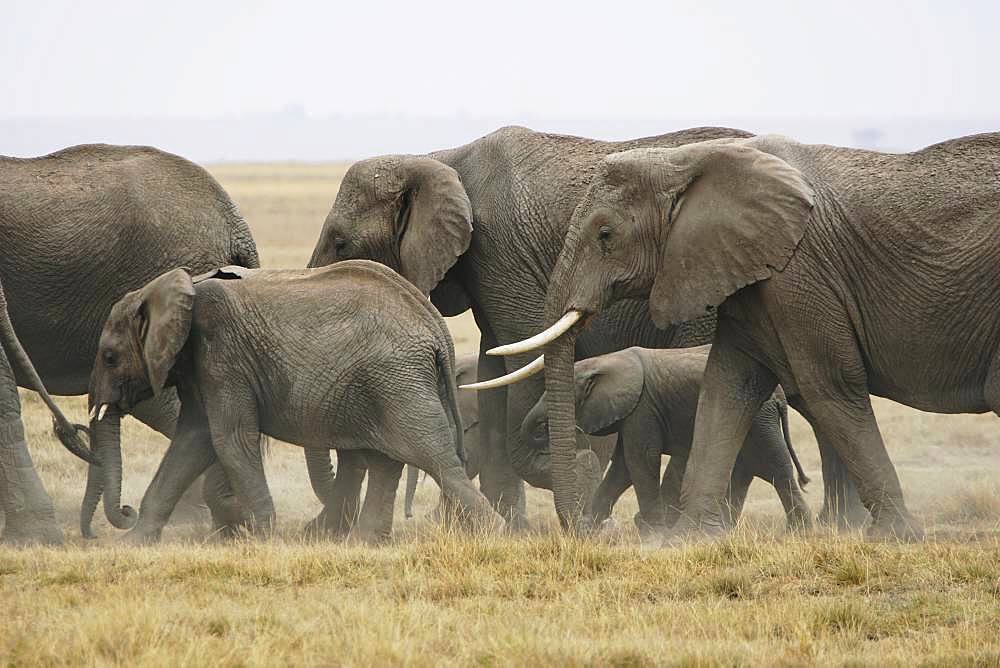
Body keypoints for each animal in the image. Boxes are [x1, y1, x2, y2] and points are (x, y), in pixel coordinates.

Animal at [88, 260, 500, 544]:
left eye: (109, 357)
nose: (124, 512)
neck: (176, 287)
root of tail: (435, 328)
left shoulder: (222, 357)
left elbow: (230, 439)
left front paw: (262, 540)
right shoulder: (200, 368)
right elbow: (192, 442)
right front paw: (132, 544)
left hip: (398, 382)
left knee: (437, 461)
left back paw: (498, 534)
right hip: (384, 386)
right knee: (388, 462)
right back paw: (365, 543)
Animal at [524, 348, 812, 536]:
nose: (538, 432)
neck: (603, 361)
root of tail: (780, 397)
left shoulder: (643, 408)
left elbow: (639, 460)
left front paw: (654, 533)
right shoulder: (633, 413)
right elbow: (623, 468)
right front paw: (591, 530)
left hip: (760, 419)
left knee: (774, 468)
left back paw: (799, 532)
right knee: (745, 470)